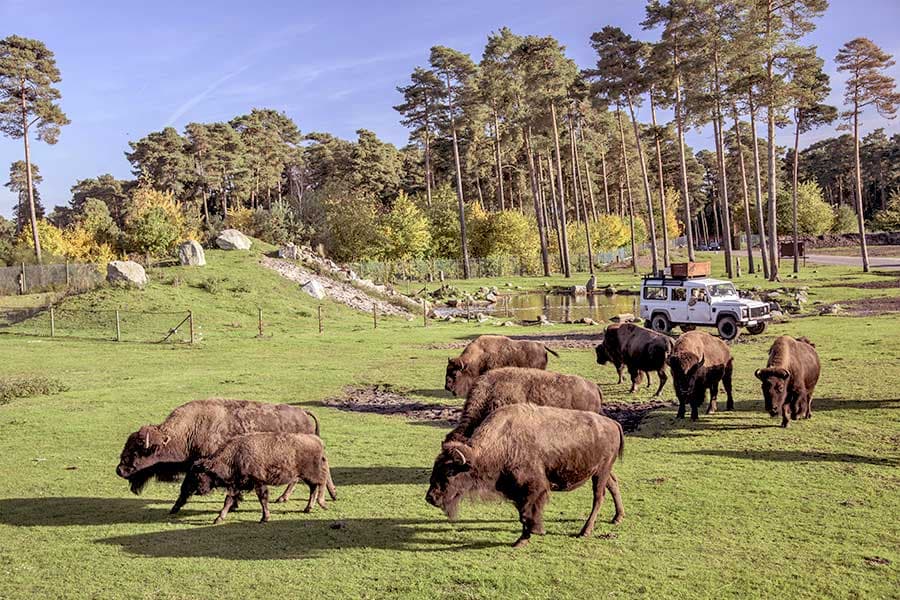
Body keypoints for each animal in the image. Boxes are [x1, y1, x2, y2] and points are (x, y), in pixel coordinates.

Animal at [116, 398, 320, 510]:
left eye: (137, 450)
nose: (120, 470)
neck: (189, 430)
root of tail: (304, 413)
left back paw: (284, 498)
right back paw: (283, 498)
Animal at [179, 432, 338, 524]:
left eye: (199, 475)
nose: (199, 491)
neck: (235, 455)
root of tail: (317, 440)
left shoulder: (258, 482)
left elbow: (262, 498)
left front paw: (264, 518)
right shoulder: (237, 485)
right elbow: (228, 500)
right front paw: (218, 518)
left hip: (310, 473)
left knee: (321, 482)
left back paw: (322, 503)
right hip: (305, 476)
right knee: (314, 487)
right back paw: (308, 508)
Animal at [424, 404, 624, 548]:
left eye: (449, 472)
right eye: (435, 468)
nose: (430, 497)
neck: (502, 443)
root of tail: (613, 424)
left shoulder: (534, 488)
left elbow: (527, 513)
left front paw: (534, 532)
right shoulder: (517, 491)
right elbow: (523, 514)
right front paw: (522, 539)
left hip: (601, 472)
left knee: (598, 497)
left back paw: (585, 531)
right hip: (602, 472)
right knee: (613, 485)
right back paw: (617, 518)